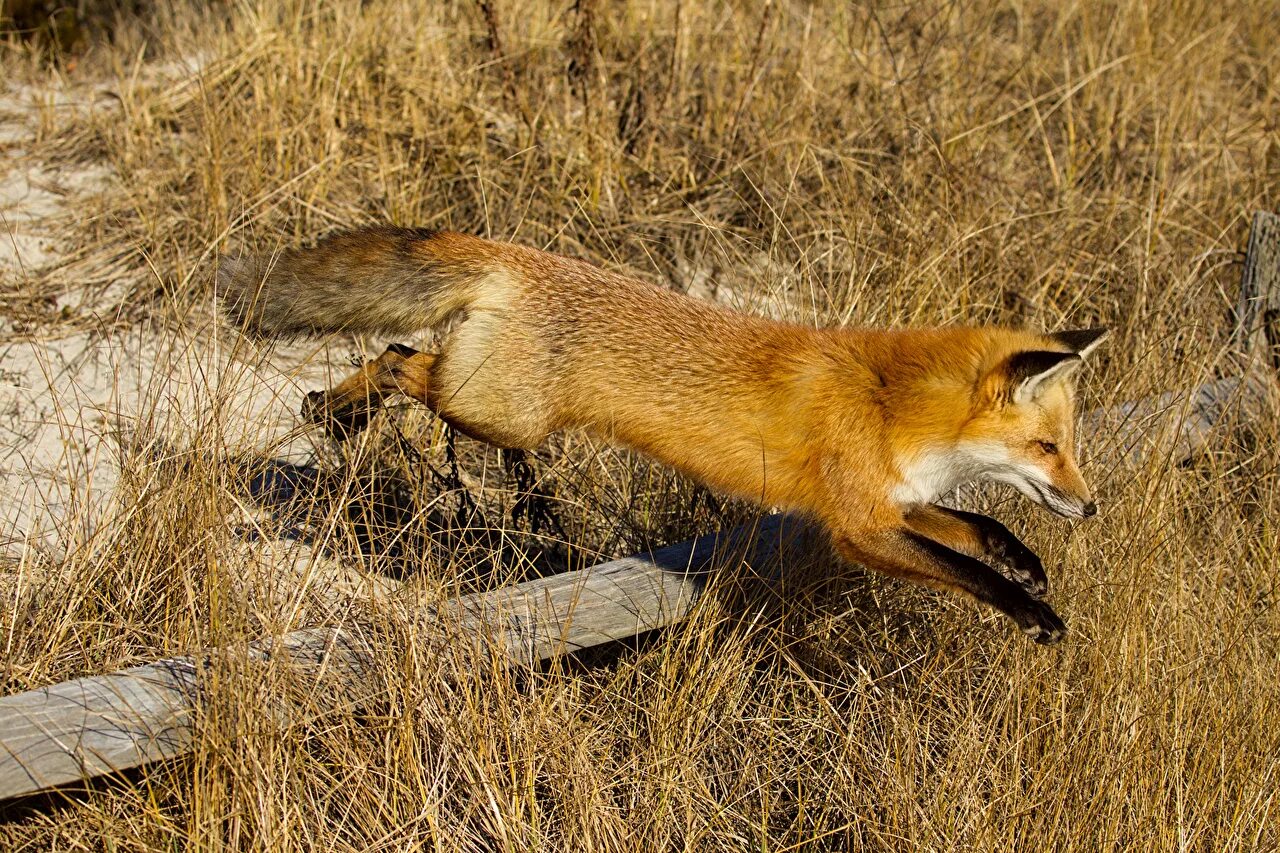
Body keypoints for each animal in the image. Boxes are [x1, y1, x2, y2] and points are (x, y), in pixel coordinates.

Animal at [215, 229, 1105, 640]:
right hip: (492, 408)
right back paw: (334, 413)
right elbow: (963, 567)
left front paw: (1025, 563)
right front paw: (1030, 611)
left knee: (400, 352)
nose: (1092, 507)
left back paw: (334, 410)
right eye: (1048, 449)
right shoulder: (858, 525)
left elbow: (977, 527)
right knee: (403, 363)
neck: (892, 404)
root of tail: (517, 254)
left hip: (486, 400)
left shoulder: (893, 503)